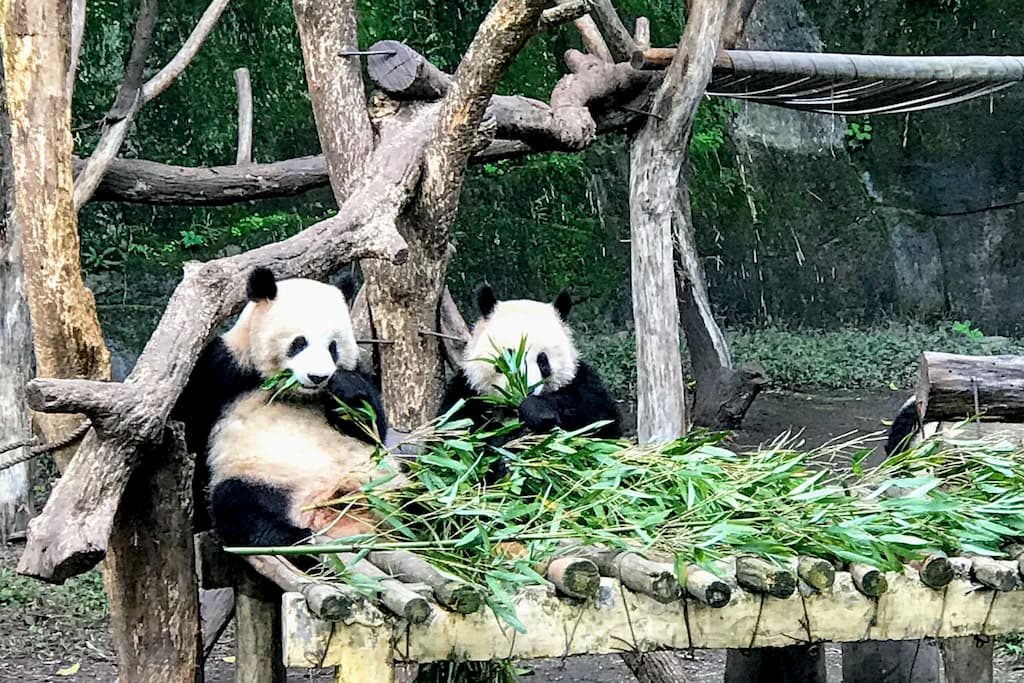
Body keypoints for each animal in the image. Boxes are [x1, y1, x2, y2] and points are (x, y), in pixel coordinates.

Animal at [174, 268, 401, 548]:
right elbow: (192, 426)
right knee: (240, 505)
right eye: (299, 343)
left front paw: (344, 388)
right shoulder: (222, 369)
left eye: (333, 347)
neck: (294, 392)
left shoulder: (357, 369)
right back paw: (292, 536)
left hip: (385, 485)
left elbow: (372, 429)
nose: (318, 377)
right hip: (265, 477)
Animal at [436, 286, 618, 440]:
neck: (512, 409)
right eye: (506, 359)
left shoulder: (581, 381)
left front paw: (536, 411)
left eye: (543, 361)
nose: (525, 390)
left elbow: (599, 420)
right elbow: (455, 431)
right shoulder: (468, 391)